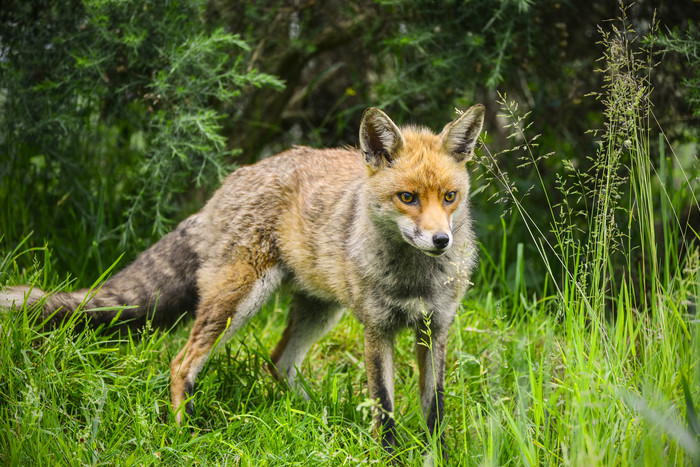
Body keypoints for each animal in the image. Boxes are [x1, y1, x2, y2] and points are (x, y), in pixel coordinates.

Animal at [4, 105, 486, 460]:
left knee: (277, 362)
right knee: (182, 364)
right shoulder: (377, 329)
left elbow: (435, 411)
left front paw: (439, 457)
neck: (414, 281)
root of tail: (231, 180)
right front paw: (390, 456)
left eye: (450, 197)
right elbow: (383, 409)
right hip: (237, 301)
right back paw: (184, 438)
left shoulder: (436, 328)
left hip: (319, 309)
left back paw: (317, 416)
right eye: (407, 198)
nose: (441, 240)